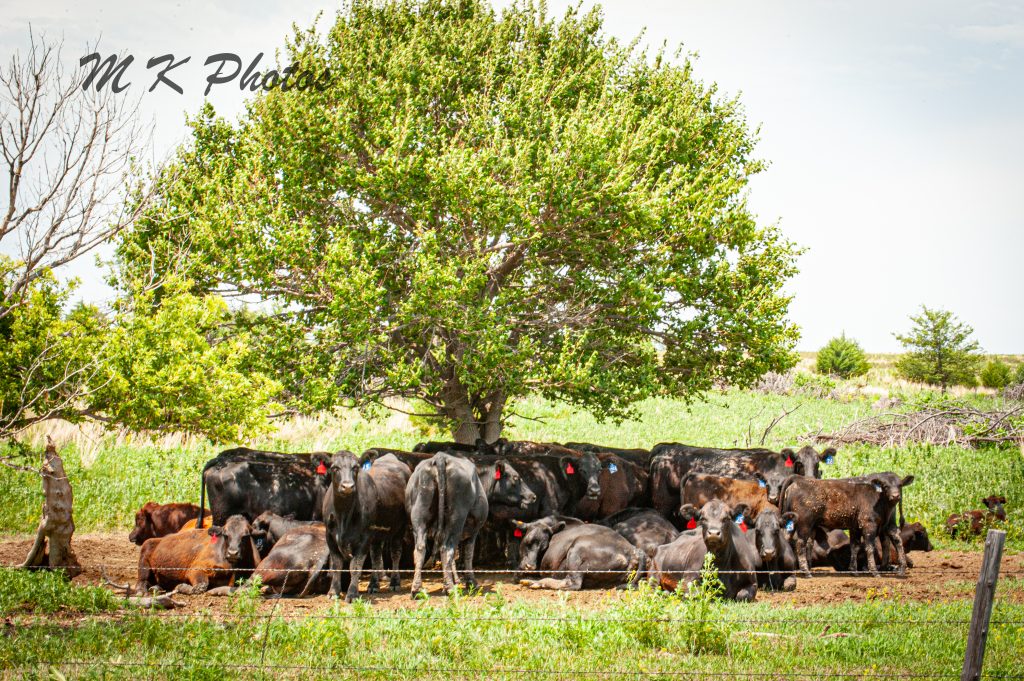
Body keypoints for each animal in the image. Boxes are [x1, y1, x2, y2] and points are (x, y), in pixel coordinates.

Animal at [323, 451, 411, 602]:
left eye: (355, 467)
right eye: (335, 468)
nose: (348, 486)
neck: (343, 516)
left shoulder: (364, 537)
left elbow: (355, 566)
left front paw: (352, 594)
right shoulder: (329, 536)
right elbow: (336, 564)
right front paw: (333, 591)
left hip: (400, 528)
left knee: (395, 553)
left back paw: (394, 582)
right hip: (376, 534)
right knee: (376, 555)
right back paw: (373, 585)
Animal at [513, 516, 644, 591]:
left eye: (544, 548)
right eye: (528, 541)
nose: (530, 566)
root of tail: (633, 549)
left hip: (577, 550)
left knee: (573, 583)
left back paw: (534, 582)